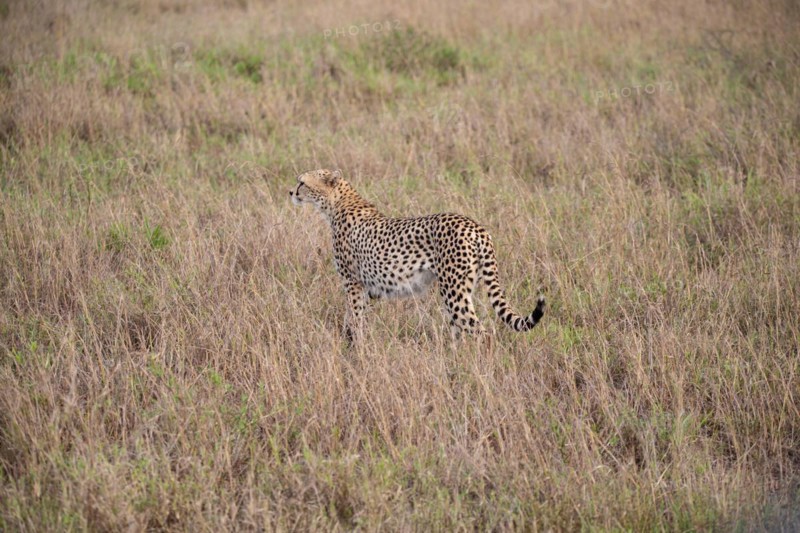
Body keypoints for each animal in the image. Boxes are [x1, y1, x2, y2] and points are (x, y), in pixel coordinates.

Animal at [289, 169, 545, 341]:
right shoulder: (364, 287)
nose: (290, 192)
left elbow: (354, 318)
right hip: (461, 288)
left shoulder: (353, 283)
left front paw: (355, 349)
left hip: (453, 290)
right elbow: (355, 318)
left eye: (302, 182)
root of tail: (475, 226)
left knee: (481, 332)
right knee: (461, 330)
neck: (337, 203)